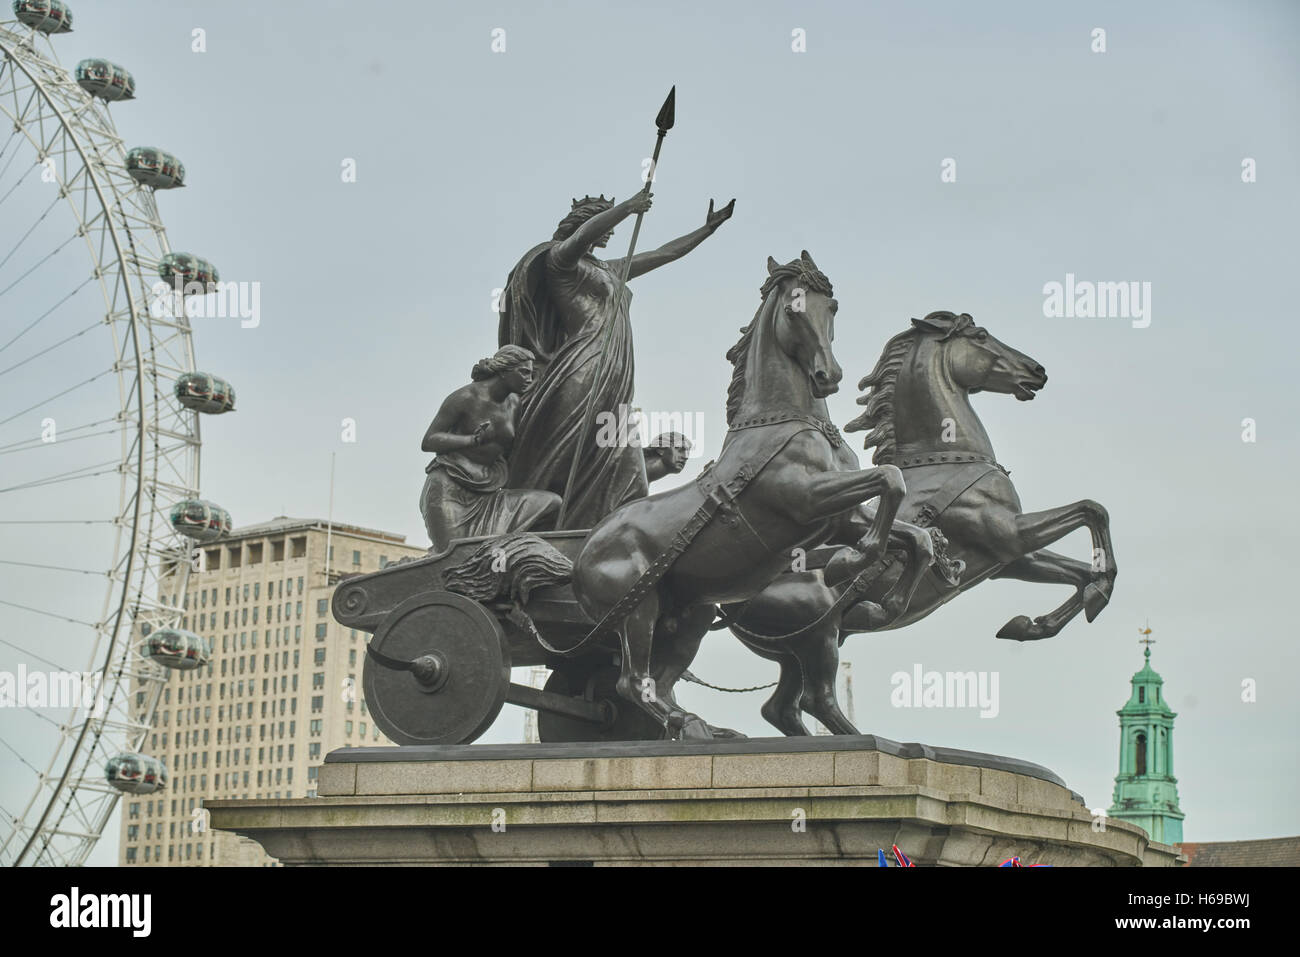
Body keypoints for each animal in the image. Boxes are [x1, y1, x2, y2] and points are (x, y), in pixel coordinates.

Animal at [574, 250, 930, 738]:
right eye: (792, 309)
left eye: (832, 306)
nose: (829, 375)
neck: (785, 423)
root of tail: (580, 557)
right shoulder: (808, 498)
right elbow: (890, 479)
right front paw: (850, 562)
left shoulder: (842, 517)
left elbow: (914, 533)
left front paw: (887, 602)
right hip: (638, 608)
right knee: (632, 682)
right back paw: (691, 724)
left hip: (691, 614)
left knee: (661, 682)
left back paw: (708, 729)